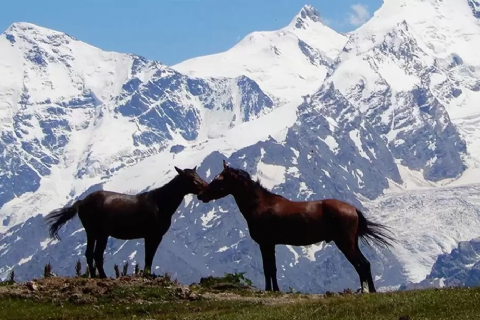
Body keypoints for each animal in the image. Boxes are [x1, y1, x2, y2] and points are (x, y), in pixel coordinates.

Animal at [45, 166, 208, 278]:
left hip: (93, 234)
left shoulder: (153, 237)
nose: (205, 187)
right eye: (190, 178)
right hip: (99, 234)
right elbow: (149, 256)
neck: (159, 203)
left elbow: (150, 257)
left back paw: (96, 276)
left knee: (90, 254)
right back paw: (102, 277)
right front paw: (147, 275)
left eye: (197, 174)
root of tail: (81, 202)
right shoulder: (152, 236)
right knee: (96, 254)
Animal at [197, 161, 396, 294]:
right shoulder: (270, 244)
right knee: (364, 264)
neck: (260, 204)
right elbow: (271, 268)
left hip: (345, 243)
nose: (201, 195)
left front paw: (270, 291)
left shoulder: (265, 244)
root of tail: (352, 209)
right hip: (351, 243)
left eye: (219, 179)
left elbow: (268, 269)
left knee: (361, 264)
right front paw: (274, 290)